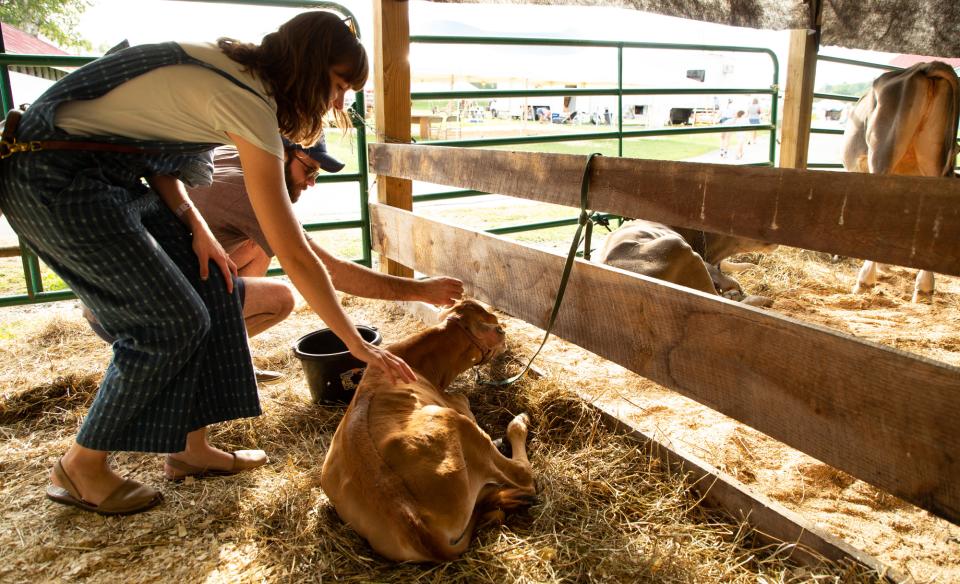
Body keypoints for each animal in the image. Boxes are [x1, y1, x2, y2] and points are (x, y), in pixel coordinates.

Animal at [320, 298, 532, 564]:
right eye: (496, 326)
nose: (504, 332)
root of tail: (407, 513)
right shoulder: (458, 403)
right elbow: (464, 399)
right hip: (453, 420)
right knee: (524, 476)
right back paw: (518, 424)